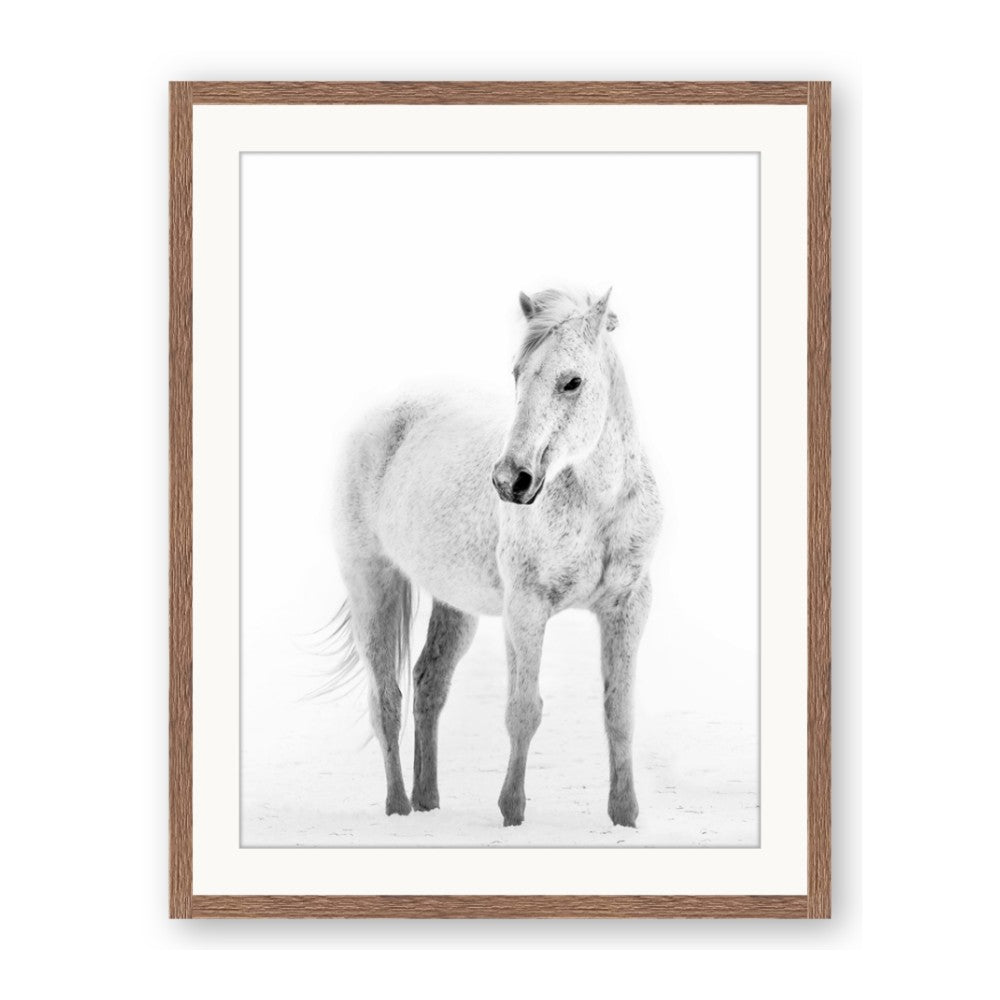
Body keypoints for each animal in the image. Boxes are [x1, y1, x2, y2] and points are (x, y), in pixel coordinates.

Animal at [328, 287, 662, 827]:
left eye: (573, 381)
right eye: (517, 374)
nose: (511, 481)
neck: (598, 505)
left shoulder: (628, 606)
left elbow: (619, 713)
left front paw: (625, 816)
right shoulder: (525, 609)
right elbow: (523, 710)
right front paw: (512, 812)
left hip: (454, 604)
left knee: (428, 684)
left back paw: (428, 800)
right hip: (371, 583)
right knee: (387, 700)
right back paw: (399, 807)